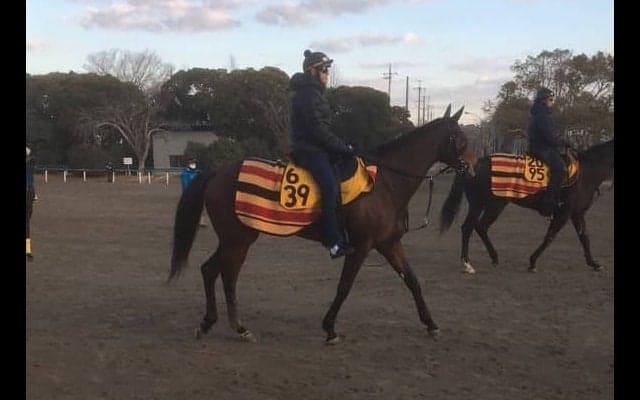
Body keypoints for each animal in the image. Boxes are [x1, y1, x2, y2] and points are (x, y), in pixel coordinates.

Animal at [169, 104, 471, 344]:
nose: (471, 168)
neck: (385, 183)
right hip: (238, 239)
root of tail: (218, 172)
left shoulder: (389, 244)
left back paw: (215, 324)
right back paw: (236, 327)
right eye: (460, 138)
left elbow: (413, 281)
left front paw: (431, 324)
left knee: (212, 271)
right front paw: (329, 328)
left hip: (235, 239)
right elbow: (344, 287)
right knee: (225, 275)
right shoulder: (361, 246)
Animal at [439, 139, 614, 274]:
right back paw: (467, 264)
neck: (587, 173)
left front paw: (594, 264)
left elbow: (584, 238)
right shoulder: (563, 214)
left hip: (493, 205)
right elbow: (550, 237)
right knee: (469, 228)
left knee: (480, 227)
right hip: (484, 205)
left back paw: (494, 258)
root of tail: (473, 164)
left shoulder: (577, 214)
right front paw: (532, 262)